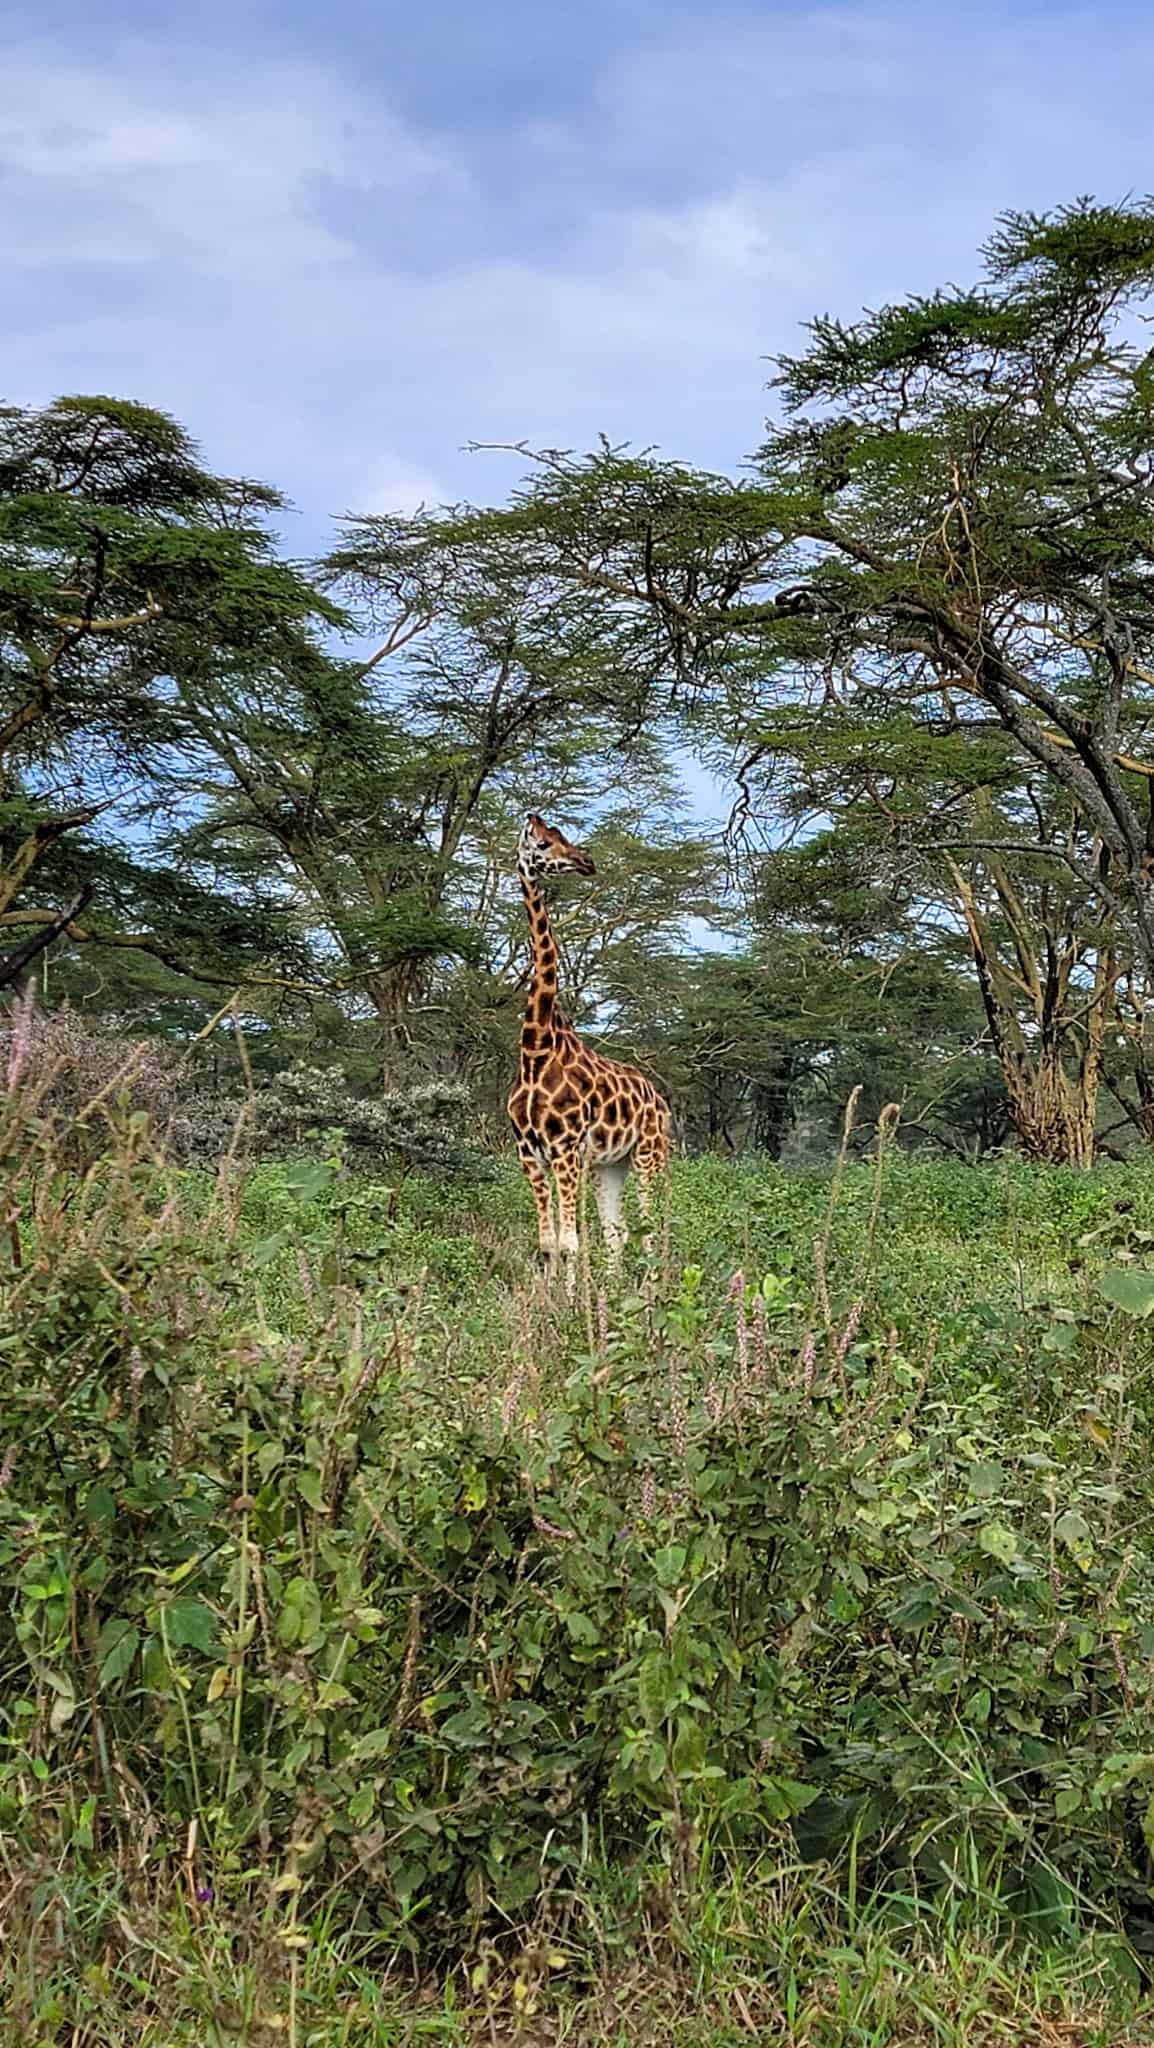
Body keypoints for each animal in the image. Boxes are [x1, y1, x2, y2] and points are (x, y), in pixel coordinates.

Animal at [510, 806, 672, 1269]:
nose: (587, 862)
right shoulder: (530, 1153)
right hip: (610, 1164)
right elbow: (548, 1244)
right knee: (618, 1232)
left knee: (651, 1231)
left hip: (650, 1153)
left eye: (561, 835)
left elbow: (570, 1244)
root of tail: (660, 1099)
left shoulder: (565, 1150)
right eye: (544, 843)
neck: (535, 1050)